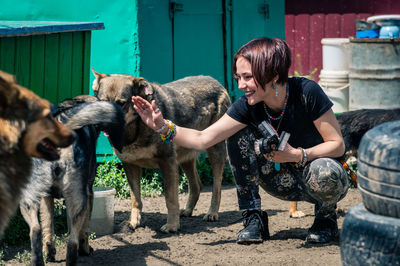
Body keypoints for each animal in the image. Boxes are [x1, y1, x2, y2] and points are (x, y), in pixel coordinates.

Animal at [18, 95, 124, 266]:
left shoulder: (46, 197)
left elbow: (48, 227)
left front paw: (50, 253)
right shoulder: (89, 194)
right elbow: (85, 231)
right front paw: (86, 249)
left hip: (28, 200)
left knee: (35, 230)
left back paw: (38, 261)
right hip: (78, 201)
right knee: (72, 241)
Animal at [91, 69, 231, 233]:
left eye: (121, 103)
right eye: (102, 102)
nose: (105, 126)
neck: (136, 130)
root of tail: (215, 81)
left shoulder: (167, 162)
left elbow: (170, 198)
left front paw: (172, 226)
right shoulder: (130, 165)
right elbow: (135, 199)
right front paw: (133, 223)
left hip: (215, 152)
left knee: (217, 187)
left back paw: (212, 213)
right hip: (185, 159)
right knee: (197, 185)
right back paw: (187, 210)